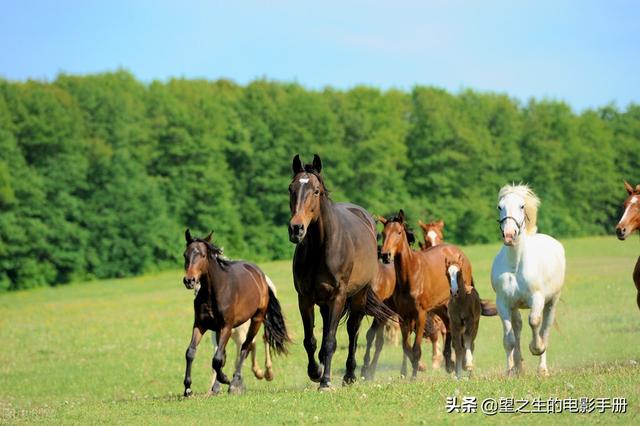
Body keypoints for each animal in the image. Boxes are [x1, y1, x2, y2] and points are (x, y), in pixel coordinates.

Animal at [182, 229, 289, 396]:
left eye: (203, 255)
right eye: (185, 255)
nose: (189, 280)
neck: (214, 293)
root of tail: (261, 276)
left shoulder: (226, 326)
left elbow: (218, 359)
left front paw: (226, 379)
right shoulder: (201, 325)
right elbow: (191, 352)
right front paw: (188, 388)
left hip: (257, 320)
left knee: (247, 346)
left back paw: (236, 381)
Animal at [288, 154, 396, 390]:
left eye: (316, 191)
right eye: (291, 188)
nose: (296, 229)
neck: (321, 249)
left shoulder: (338, 296)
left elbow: (330, 340)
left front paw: (326, 381)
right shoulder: (305, 298)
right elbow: (310, 340)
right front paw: (315, 371)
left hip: (358, 297)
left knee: (353, 330)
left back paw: (350, 375)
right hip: (324, 304)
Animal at [491, 184, 565, 376]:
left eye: (522, 206)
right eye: (500, 206)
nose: (509, 235)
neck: (515, 265)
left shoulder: (537, 299)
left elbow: (535, 321)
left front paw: (536, 348)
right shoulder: (503, 303)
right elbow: (509, 339)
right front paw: (510, 371)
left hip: (552, 302)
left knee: (545, 329)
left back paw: (542, 369)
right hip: (515, 306)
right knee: (517, 328)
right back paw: (518, 367)